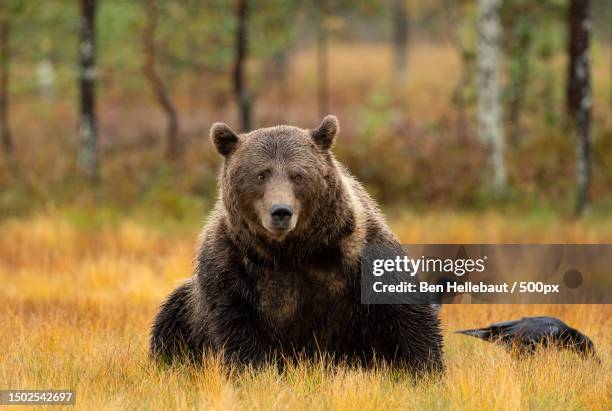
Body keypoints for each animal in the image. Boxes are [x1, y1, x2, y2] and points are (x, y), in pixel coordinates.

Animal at [150, 116, 442, 376]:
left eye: (297, 175)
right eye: (260, 175)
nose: (281, 211)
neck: (293, 252)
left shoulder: (359, 252)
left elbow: (403, 311)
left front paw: (424, 369)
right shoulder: (230, 265)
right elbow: (237, 327)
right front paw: (256, 372)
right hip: (186, 307)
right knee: (169, 321)